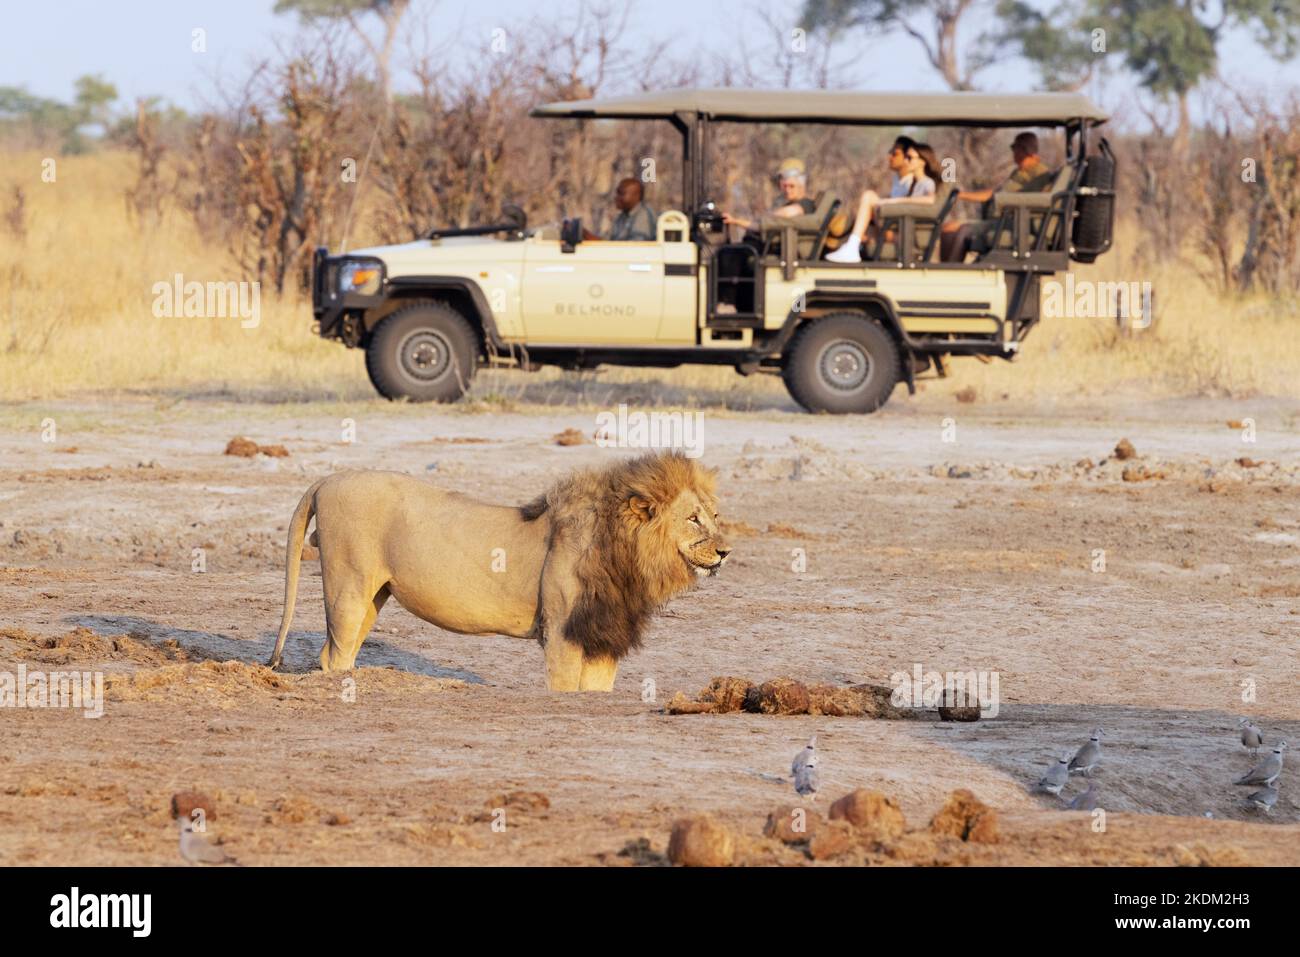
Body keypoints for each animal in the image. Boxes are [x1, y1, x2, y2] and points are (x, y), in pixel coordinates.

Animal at [267, 451, 731, 691]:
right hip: (347, 588)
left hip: (373, 597)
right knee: (333, 653)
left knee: (336, 654)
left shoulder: (602, 639)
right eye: (693, 519)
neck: (629, 560)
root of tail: (328, 478)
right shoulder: (562, 634)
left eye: (715, 515)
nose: (726, 551)